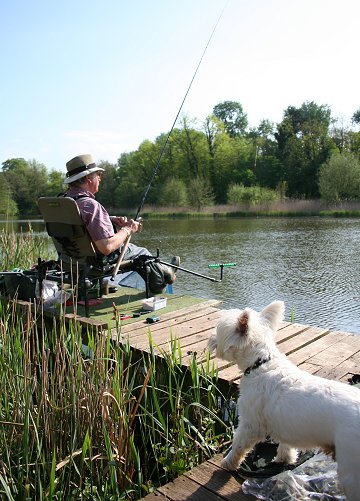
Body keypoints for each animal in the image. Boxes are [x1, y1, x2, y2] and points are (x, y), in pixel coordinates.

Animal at [208, 298, 360, 498]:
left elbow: (238, 445)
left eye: (219, 331)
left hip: (351, 466)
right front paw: (284, 458)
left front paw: (228, 462)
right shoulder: (284, 425)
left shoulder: (250, 424)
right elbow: (285, 446)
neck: (260, 363)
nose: (210, 339)